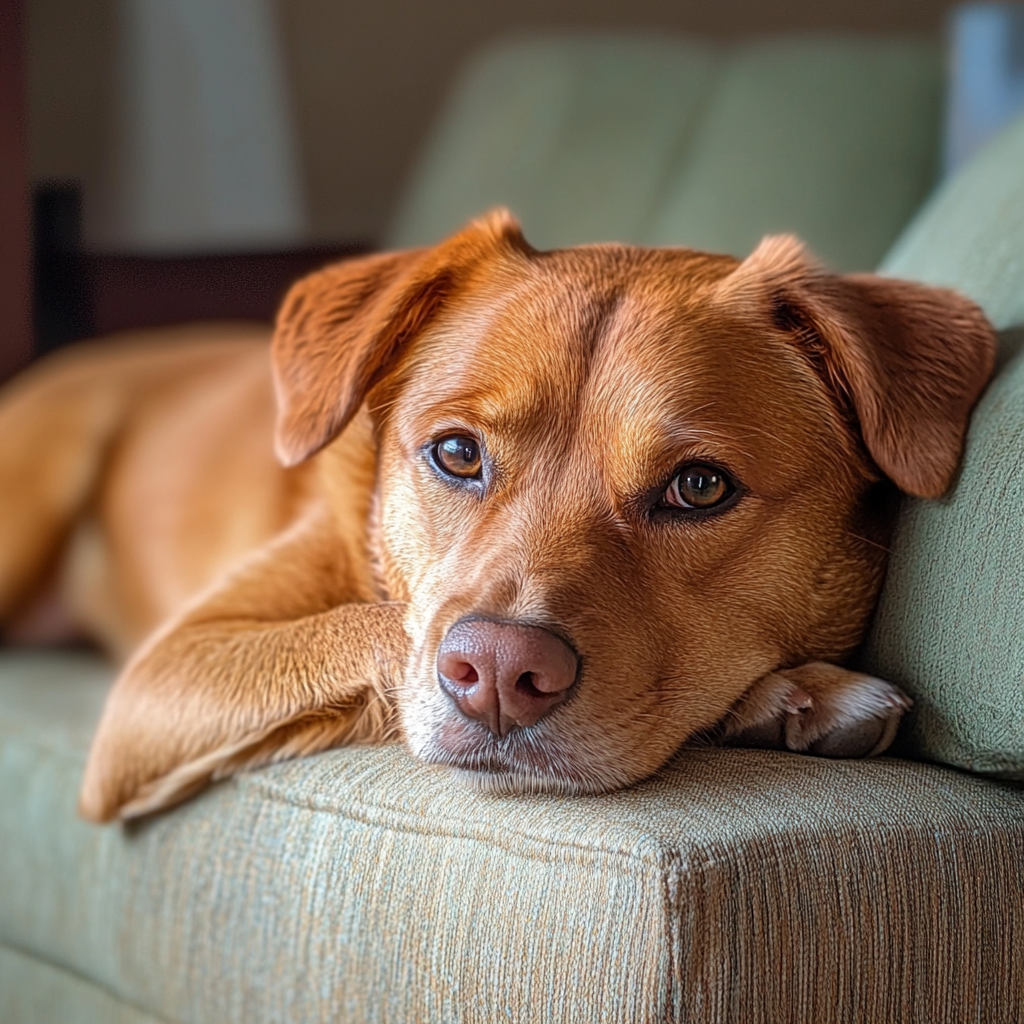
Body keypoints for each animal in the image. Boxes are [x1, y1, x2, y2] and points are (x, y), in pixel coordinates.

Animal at [0, 211, 995, 819]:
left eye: (700, 487)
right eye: (456, 454)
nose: (500, 674)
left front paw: (791, 694)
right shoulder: (163, 672)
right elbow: (378, 627)